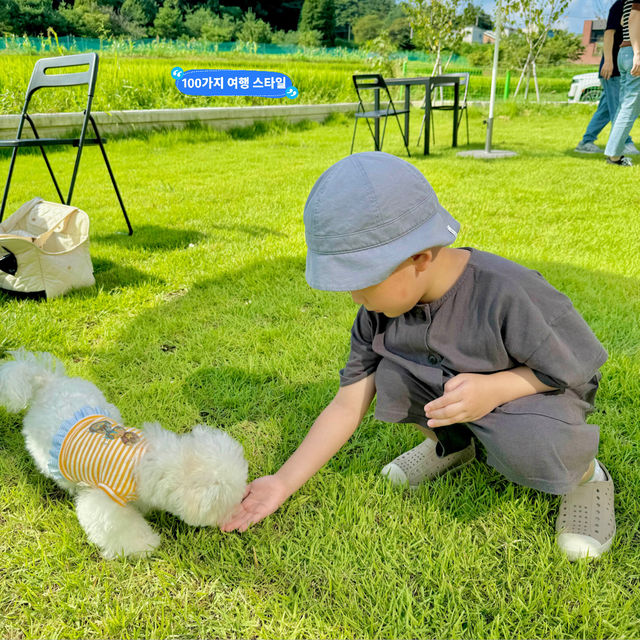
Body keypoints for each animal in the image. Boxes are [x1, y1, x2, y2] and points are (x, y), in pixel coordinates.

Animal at [0, 350, 248, 560]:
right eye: (227, 502)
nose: (237, 510)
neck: (146, 460)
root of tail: (46, 382)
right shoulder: (106, 500)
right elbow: (123, 528)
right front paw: (146, 546)